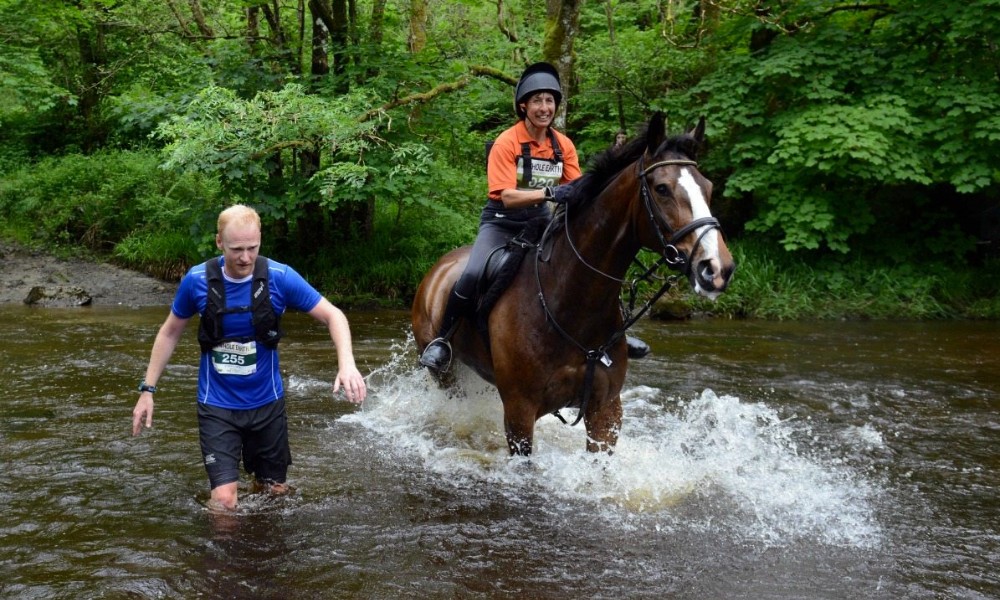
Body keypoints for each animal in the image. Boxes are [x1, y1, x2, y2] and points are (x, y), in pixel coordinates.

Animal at [410, 113, 732, 454]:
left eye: (708, 188)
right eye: (662, 188)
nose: (717, 268)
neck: (570, 300)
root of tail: (438, 267)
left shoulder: (606, 409)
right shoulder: (520, 413)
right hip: (447, 377)